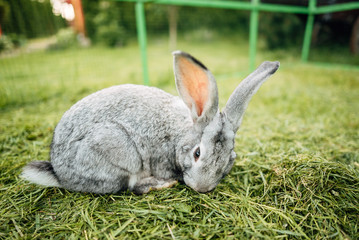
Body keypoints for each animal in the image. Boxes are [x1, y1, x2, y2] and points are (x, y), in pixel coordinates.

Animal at [20, 51, 282, 194]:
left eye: (230, 159)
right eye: (197, 153)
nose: (201, 187)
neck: (181, 136)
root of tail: (60, 174)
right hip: (117, 151)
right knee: (130, 186)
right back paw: (160, 184)